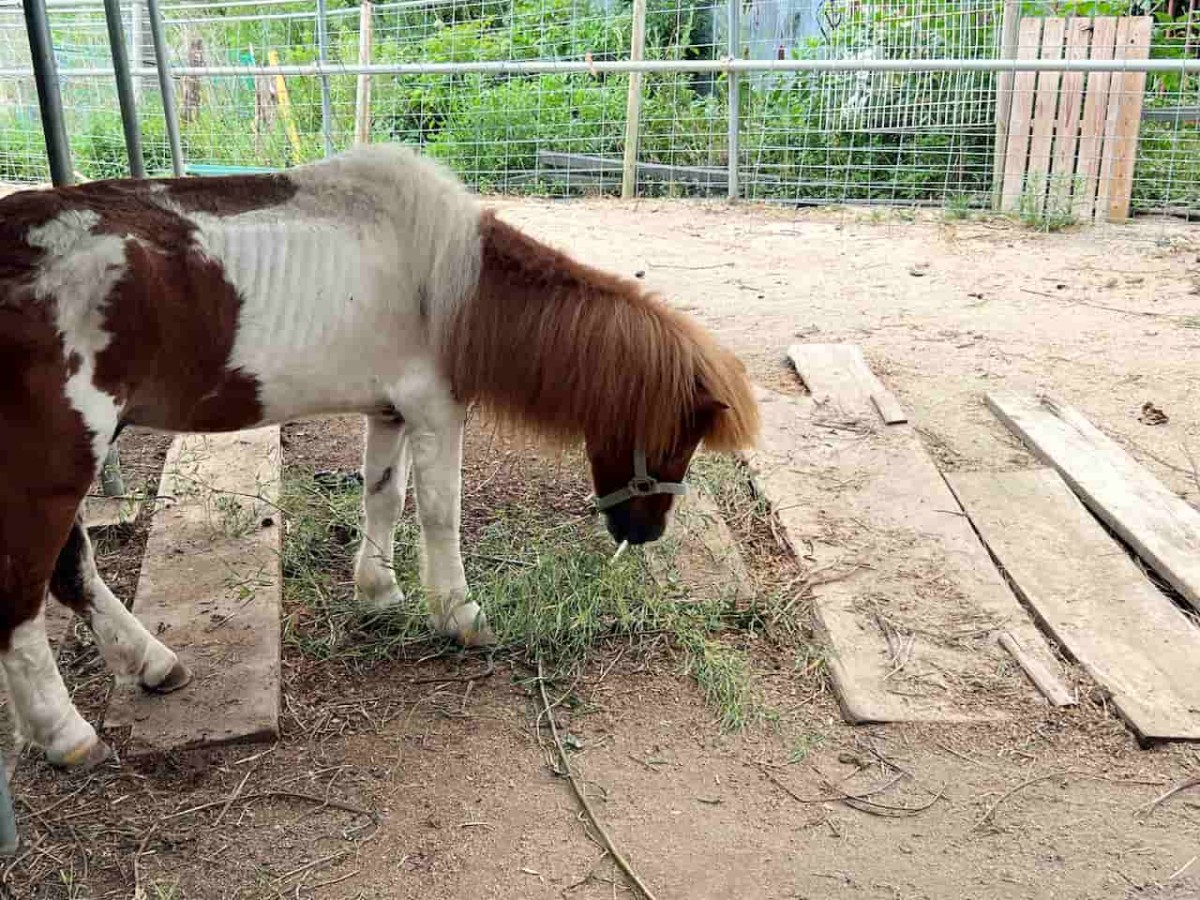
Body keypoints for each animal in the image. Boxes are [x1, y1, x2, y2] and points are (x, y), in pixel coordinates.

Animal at [0, 144, 758, 772]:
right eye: (680, 437)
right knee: (22, 601)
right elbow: (440, 514)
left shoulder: (390, 411)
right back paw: (66, 735)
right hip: (52, 471)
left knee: (72, 575)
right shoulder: (434, 411)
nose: (646, 533)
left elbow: (384, 496)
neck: (449, 283)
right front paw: (459, 616)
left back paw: (152, 664)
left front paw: (380, 592)